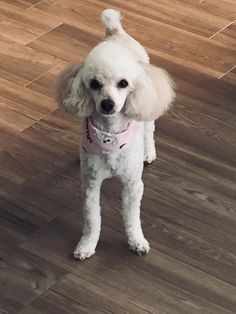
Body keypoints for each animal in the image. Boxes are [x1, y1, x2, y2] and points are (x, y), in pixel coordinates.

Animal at [54, 9, 173, 260]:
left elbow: (132, 217)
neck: (109, 137)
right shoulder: (90, 184)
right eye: (94, 84)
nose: (108, 104)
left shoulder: (132, 184)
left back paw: (148, 152)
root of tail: (116, 32)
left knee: (149, 130)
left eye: (124, 83)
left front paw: (137, 241)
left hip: (147, 114)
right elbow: (92, 220)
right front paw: (86, 245)